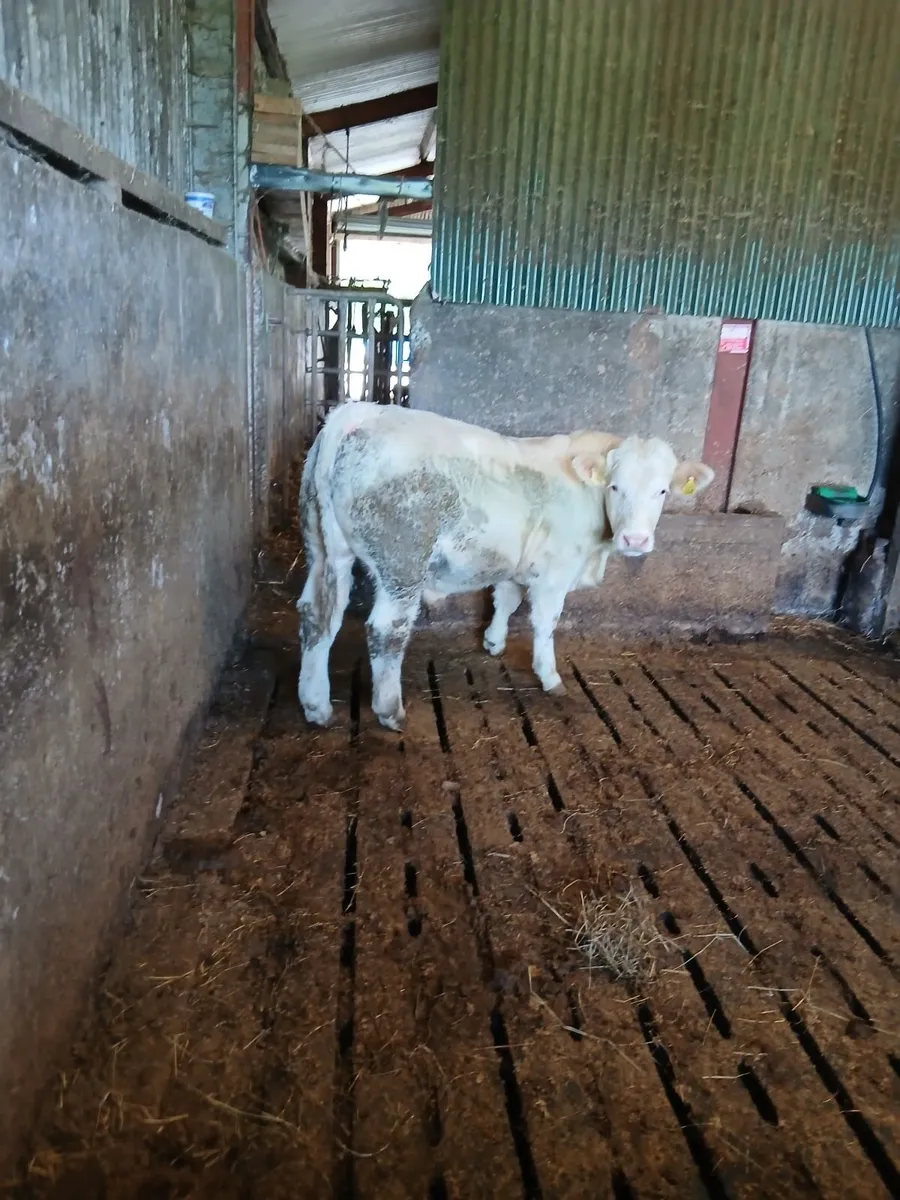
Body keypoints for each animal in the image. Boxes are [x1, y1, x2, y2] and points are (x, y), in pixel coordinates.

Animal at [297, 404, 714, 731]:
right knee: (387, 630)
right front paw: (549, 676)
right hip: (402, 563)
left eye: (662, 490)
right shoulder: (556, 571)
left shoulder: (516, 562)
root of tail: (356, 413)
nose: (636, 540)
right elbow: (545, 622)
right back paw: (389, 711)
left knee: (316, 615)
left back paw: (316, 704)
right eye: (615, 487)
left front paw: (494, 642)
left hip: (325, 550)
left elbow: (506, 599)